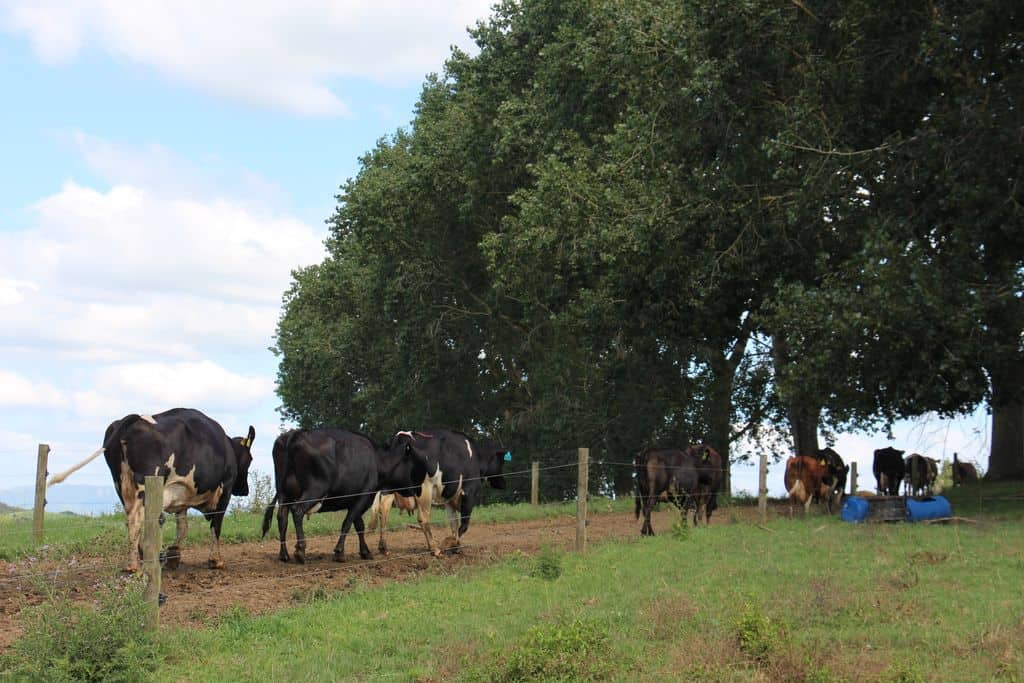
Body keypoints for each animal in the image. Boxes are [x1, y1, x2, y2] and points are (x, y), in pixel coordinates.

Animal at [46, 409, 256, 573]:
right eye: (250, 458)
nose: (244, 490)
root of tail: (136, 418)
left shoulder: (180, 495)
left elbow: (183, 527)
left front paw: (174, 553)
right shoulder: (224, 490)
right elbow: (216, 526)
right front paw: (215, 560)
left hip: (121, 485)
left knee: (133, 520)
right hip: (145, 486)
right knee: (137, 521)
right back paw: (136, 564)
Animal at [264, 428, 428, 565]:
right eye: (414, 460)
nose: (418, 490)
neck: (377, 460)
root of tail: (295, 433)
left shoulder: (355, 500)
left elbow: (359, 525)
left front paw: (365, 552)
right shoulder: (364, 496)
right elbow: (347, 523)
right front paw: (339, 552)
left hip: (284, 493)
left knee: (282, 518)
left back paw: (284, 555)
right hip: (315, 489)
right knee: (297, 511)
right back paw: (300, 551)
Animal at [376, 430, 507, 557]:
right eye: (501, 462)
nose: (503, 483)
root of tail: (402, 437)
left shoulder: (449, 498)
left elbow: (454, 523)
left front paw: (455, 544)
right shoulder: (469, 492)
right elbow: (464, 524)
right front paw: (453, 544)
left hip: (388, 489)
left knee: (383, 512)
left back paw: (384, 548)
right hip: (425, 488)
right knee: (423, 518)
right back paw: (435, 549)